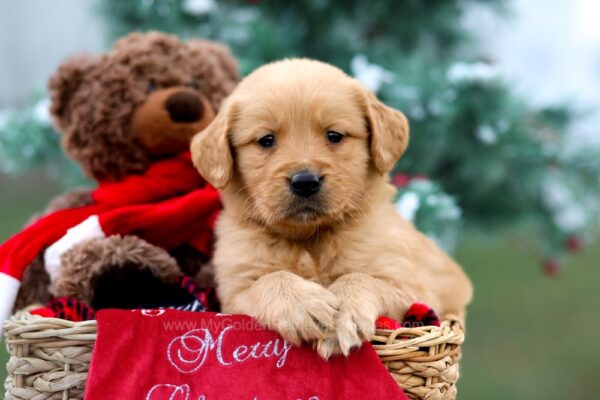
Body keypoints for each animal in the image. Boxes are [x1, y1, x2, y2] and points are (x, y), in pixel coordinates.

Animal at [190, 57, 472, 358]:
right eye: (266, 140)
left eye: (334, 135)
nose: (305, 182)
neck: (310, 238)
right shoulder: (234, 292)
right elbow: (271, 279)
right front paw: (304, 305)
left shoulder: (413, 288)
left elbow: (363, 277)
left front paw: (343, 315)